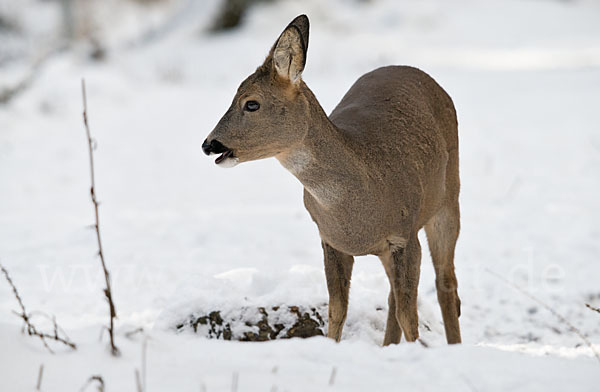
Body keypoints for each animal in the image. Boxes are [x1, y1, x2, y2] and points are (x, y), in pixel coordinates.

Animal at [204, 14, 462, 344]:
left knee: (446, 283)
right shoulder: (330, 241)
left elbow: (410, 315)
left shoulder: (404, 235)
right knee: (394, 295)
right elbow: (337, 310)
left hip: (448, 199)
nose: (210, 144)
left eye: (251, 103)